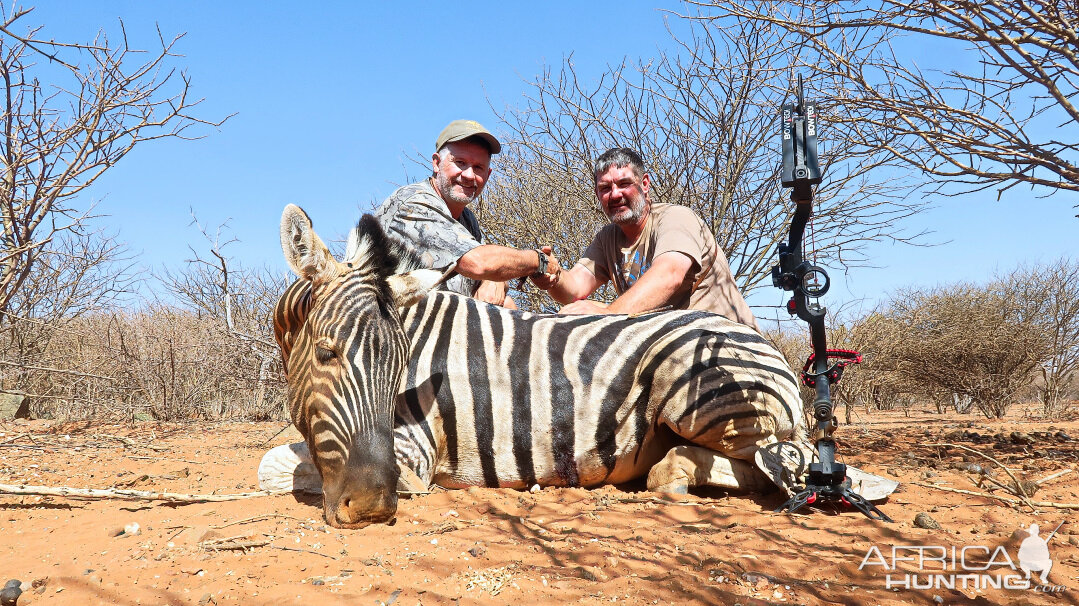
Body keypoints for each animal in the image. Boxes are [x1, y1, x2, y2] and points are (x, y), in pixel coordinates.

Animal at [271, 204, 893, 526]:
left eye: (400, 365)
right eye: (326, 354)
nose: (372, 506)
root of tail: (765, 345)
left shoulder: (412, 449)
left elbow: (281, 469)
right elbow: (288, 462)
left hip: (699, 391)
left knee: (779, 462)